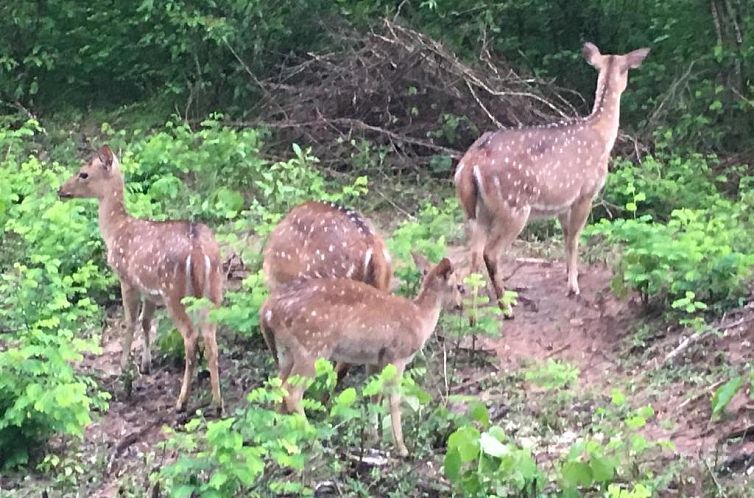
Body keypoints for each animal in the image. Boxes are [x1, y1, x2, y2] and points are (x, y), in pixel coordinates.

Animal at [57, 146, 222, 414]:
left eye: (83, 173)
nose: (61, 189)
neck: (115, 231)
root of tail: (198, 252)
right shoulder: (150, 291)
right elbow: (146, 322)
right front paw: (146, 364)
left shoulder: (127, 279)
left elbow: (130, 321)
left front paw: (124, 366)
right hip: (214, 289)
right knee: (210, 338)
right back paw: (217, 404)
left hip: (174, 292)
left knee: (190, 337)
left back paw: (181, 402)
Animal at [258, 255, 458, 458]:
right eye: (458, 286)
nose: (459, 305)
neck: (421, 318)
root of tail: (267, 312)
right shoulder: (397, 355)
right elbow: (394, 399)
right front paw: (401, 448)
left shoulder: (375, 359)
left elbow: (375, 394)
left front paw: (373, 436)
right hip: (312, 347)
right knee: (292, 391)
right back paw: (315, 442)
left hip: (285, 352)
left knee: (278, 388)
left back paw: (279, 438)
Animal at [452, 41, 648, 308]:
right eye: (627, 69)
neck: (602, 134)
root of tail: (470, 162)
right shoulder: (585, 192)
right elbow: (574, 238)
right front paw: (573, 287)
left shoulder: (563, 203)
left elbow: (566, 237)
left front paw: (569, 276)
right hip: (513, 206)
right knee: (489, 253)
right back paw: (506, 306)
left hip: (477, 210)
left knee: (470, 256)